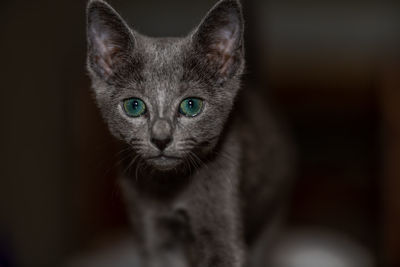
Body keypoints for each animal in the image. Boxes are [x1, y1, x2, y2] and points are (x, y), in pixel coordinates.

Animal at [86, 0, 294, 267]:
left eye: (191, 105)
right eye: (134, 106)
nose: (161, 138)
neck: (170, 188)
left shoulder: (222, 222)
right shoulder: (152, 234)